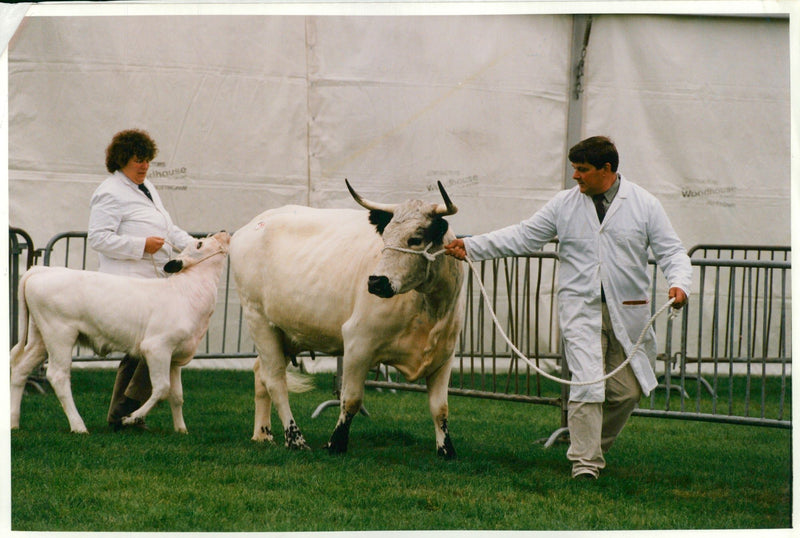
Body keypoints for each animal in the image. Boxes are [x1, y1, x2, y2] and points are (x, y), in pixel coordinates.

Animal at [10, 230, 231, 432]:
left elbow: (177, 396)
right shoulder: (156, 347)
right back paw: (79, 426)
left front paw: (181, 430)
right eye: (200, 244)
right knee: (58, 376)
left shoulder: (176, 356)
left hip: (41, 337)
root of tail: (40, 270)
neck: (187, 292)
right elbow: (162, 389)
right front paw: (131, 418)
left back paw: (14, 423)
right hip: (60, 334)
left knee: (21, 368)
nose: (223, 232)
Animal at [231, 181, 466, 456]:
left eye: (415, 239)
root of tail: (252, 225)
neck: (430, 309)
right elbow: (351, 399)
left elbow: (440, 407)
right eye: (384, 237)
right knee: (275, 381)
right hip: (258, 320)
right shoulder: (358, 341)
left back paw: (262, 434)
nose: (376, 282)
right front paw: (336, 443)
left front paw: (446, 449)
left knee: (261, 373)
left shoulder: (444, 355)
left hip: (283, 332)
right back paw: (295, 439)